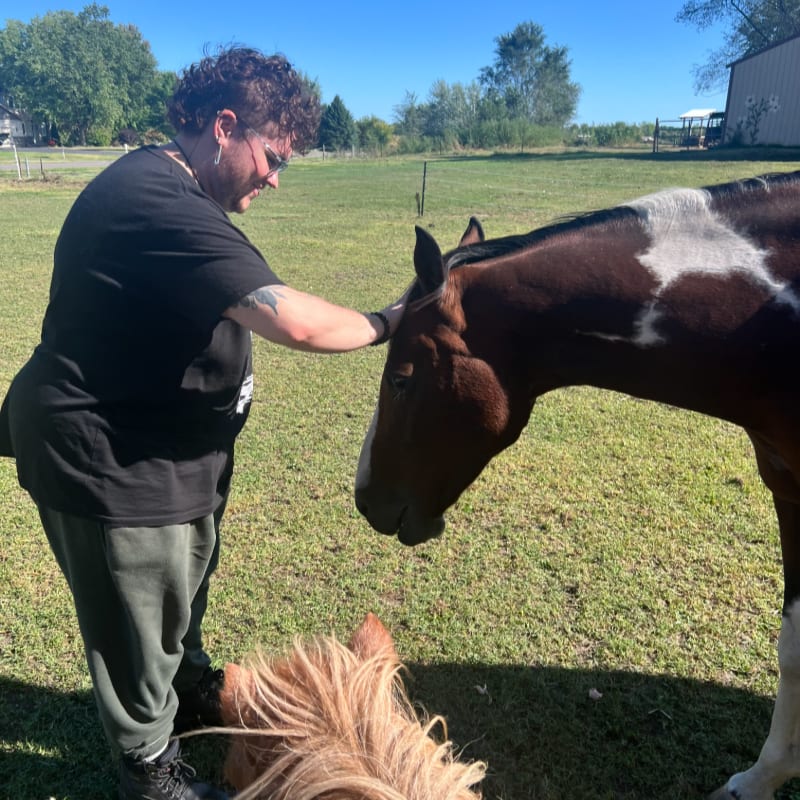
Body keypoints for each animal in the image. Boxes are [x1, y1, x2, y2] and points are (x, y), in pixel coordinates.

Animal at [354, 171, 800, 800]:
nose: (364, 497)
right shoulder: (789, 487)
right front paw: (761, 779)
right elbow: (793, 649)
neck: (767, 320)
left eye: (400, 379)